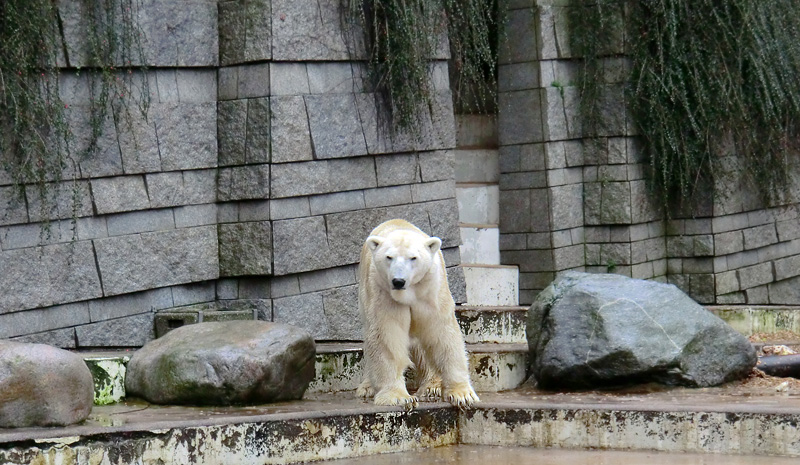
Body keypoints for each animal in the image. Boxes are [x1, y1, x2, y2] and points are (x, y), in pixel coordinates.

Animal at [354, 218, 478, 406]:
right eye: (389, 257)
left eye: (413, 258)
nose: (398, 281)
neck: (408, 293)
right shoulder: (383, 293)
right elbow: (386, 336)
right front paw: (397, 397)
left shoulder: (431, 291)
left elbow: (442, 333)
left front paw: (462, 394)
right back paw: (367, 387)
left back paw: (432, 387)